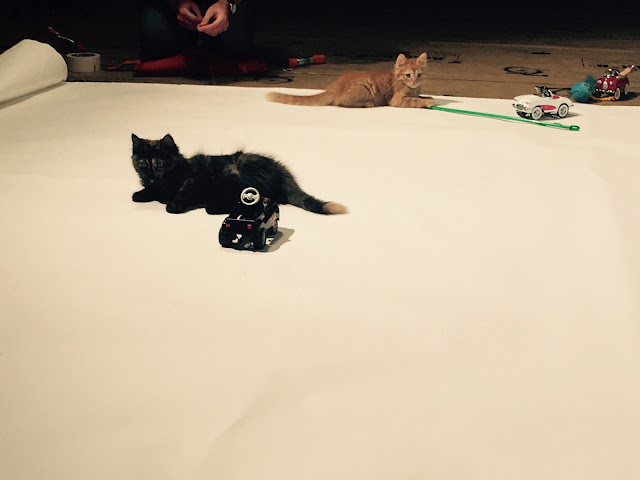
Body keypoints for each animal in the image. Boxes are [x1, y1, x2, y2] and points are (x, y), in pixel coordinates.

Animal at [131, 133, 348, 215]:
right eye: (143, 164)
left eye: (160, 164)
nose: (150, 176)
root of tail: (283, 173)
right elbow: (149, 191)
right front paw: (140, 194)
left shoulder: (197, 178)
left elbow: (184, 191)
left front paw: (173, 205)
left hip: (234, 171)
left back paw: (213, 205)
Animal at [266, 53, 435, 108]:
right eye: (408, 75)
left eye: (419, 75)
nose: (415, 82)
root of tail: (333, 87)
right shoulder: (397, 100)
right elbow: (414, 101)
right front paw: (427, 101)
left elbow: (418, 96)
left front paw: (427, 97)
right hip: (365, 86)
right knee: (340, 102)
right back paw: (368, 103)